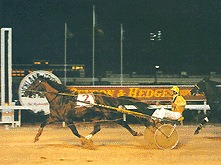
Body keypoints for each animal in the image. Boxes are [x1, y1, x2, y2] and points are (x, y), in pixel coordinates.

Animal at [23, 75, 152, 144]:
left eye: (34, 83)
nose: (25, 92)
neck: (60, 98)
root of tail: (112, 98)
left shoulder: (68, 119)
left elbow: (75, 132)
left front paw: (84, 140)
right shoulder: (54, 117)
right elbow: (43, 123)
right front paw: (36, 137)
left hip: (110, 115)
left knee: (123, 123)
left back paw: (136, 133)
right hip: (97, 117)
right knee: (97, 128)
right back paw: (89, 137)